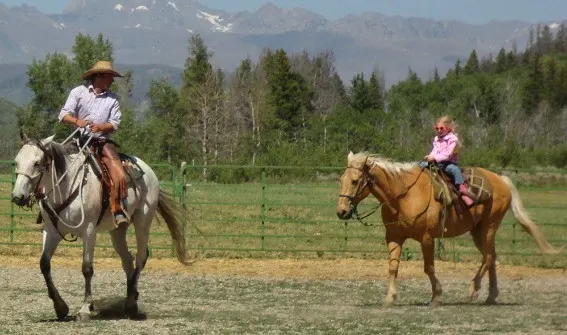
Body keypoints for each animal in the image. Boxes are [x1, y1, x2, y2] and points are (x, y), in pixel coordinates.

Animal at [11, 133, 191, 322]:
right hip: (118, 231)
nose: (18, 196)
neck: (67, 186)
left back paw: (131, 303)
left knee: (141, 257)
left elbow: (87, 268)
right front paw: (60, 307)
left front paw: (84, 308)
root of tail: (147, 170)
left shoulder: (89, 231)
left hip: (143, 221)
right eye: (16, 162)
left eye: (37, 163)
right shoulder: (51, 231)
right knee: (127, 260)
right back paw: (130, 299)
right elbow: (44, 264)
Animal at [336, 152, 560, 308]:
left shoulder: (427, 238)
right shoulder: (393, 237)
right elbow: (393, 267)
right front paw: (390, 298)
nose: (342, 211)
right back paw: (491, 295)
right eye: (341, 179)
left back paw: (473, 290)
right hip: (478, 231)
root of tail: (500, 180)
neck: (403, 195)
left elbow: (429, 268)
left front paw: (436, 297)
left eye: (355, 181)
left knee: (488, 257)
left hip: (488, 227)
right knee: (491, 257)